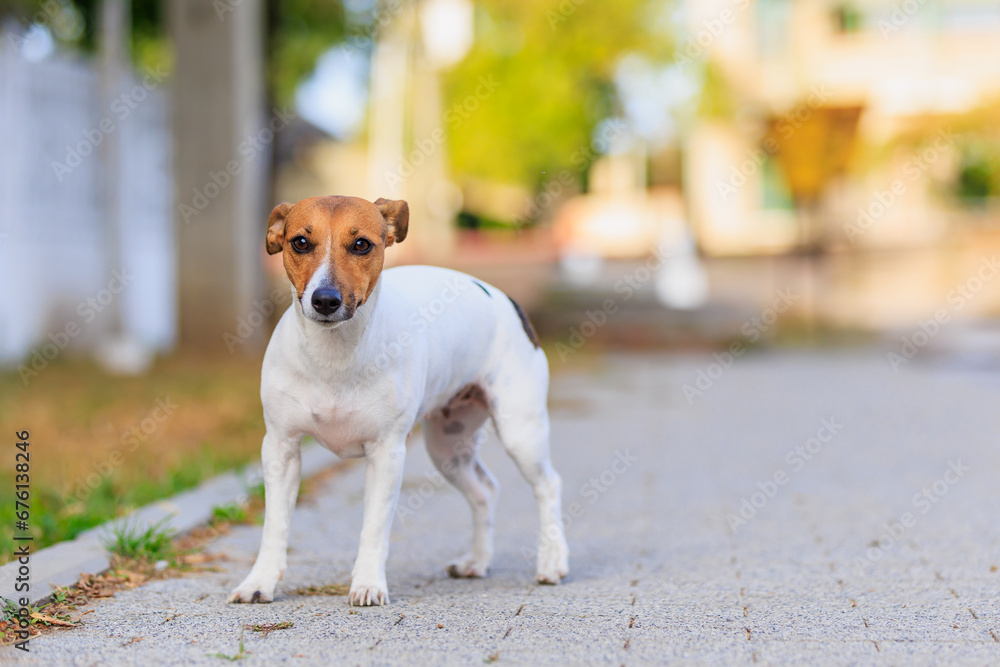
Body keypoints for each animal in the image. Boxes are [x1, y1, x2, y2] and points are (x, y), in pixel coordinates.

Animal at [229, 196, 572, 608]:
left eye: (361, 244)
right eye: (299, 242)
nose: (325, 300)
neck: (334, 354)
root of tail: (507, 300)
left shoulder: (386, 453)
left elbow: (374, 527)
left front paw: (367, 583)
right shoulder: (281, 448)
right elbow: (274, 525)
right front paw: (259, 581)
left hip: (521, 432)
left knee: (549, 485)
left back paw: (552, 562)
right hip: (447, 446)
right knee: (485, 491)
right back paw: (477, 561)